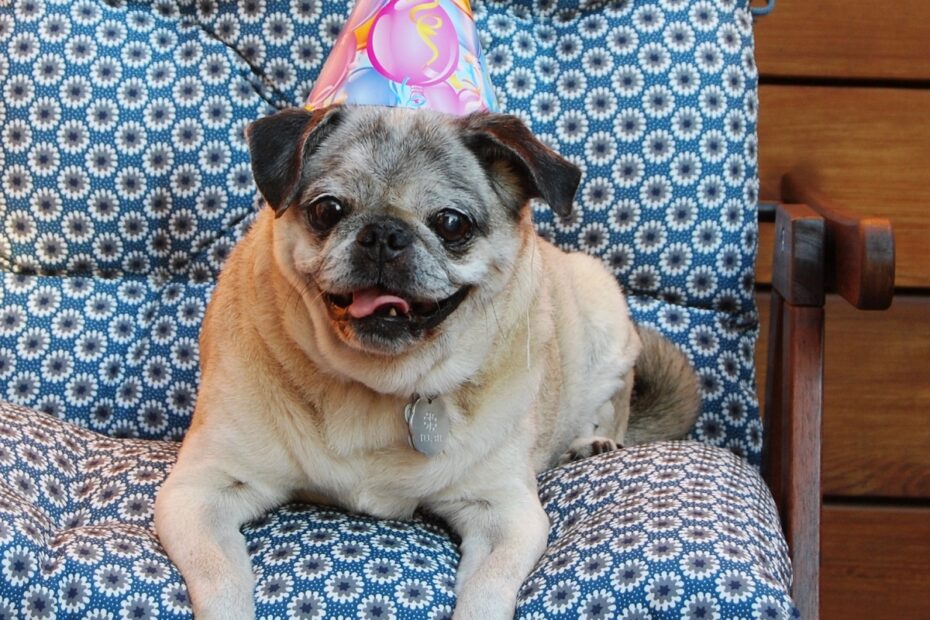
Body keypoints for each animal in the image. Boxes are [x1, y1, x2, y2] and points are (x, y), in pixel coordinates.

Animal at [154, 104, 696, 616]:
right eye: (327, 210)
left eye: (451, 224)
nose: (383, 233)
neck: (378, 385)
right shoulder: (201, 491)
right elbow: (220, 580)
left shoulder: (506, 513)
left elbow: (486, 590)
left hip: (603, 309)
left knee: (614, 408)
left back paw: (592, 444)